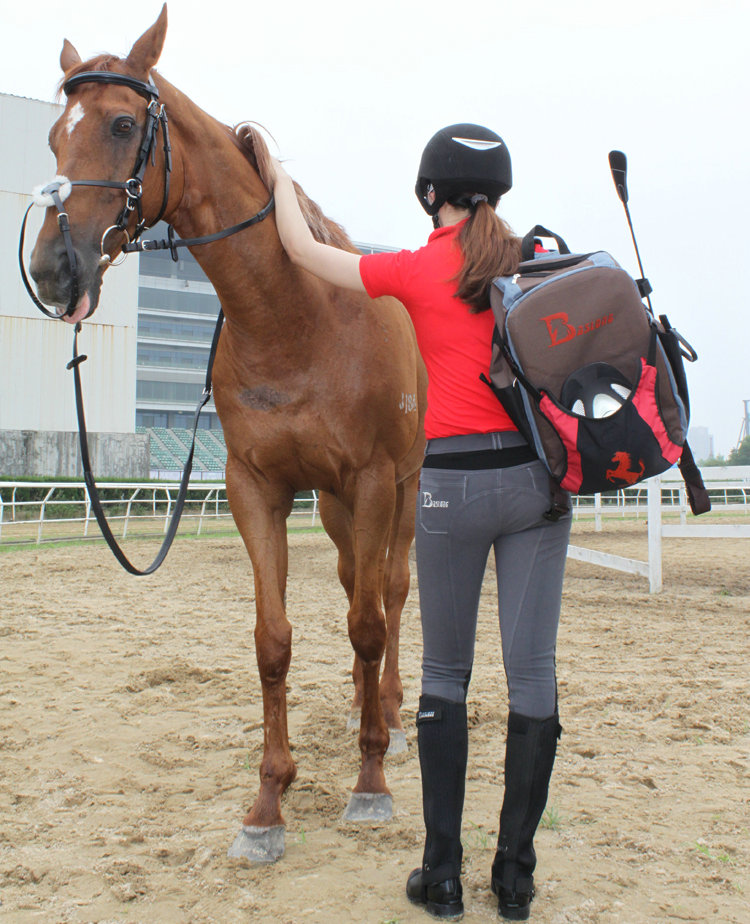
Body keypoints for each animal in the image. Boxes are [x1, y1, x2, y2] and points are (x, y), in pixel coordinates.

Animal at [28, 4, 427, 863]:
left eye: (121, 123)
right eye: (50, 138)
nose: (52, 269)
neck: (295, 316)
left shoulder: (373, 479)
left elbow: (369, 624)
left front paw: (370, 782)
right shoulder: (258, 486)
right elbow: (273, 640)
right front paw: (268, 803)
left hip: (402, 492)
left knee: (390, 595)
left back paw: (390, 716)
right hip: (336, 506)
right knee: (355, 584)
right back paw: (361, 710)